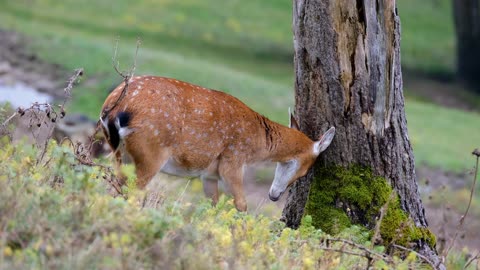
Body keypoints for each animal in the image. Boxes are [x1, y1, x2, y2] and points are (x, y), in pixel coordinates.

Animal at [99, 75, 336, 211]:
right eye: (305, 171)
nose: (274, 196)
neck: (256, 143)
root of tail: (114, 110)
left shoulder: (208, 174)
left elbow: (211, 205)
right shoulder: (233, 160)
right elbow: (241, 204)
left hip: (120, 155)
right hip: (151, 152)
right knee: (132, 191)